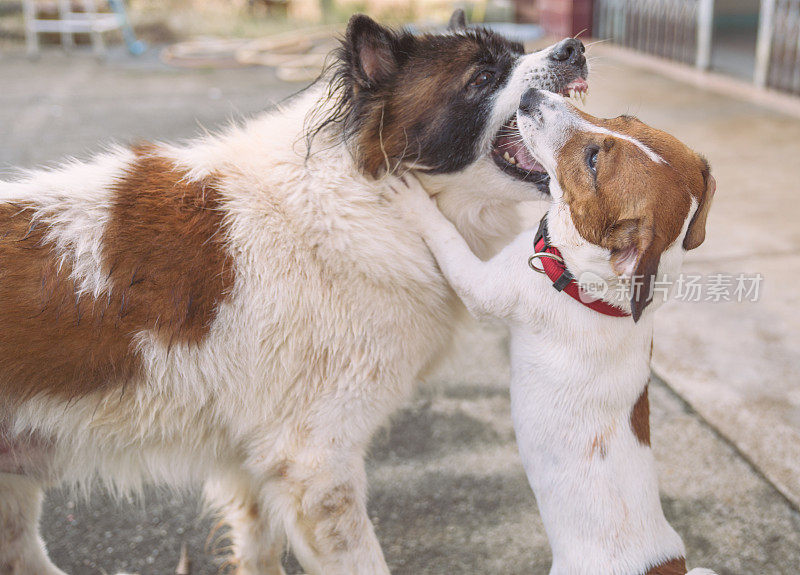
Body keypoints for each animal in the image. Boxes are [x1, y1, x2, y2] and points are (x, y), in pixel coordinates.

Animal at [0, 11, 588, 572]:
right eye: (482, 76)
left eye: (517, 51)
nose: (574, 49)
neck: (365, 196)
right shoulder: (317, 466)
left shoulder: (255, 460)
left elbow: (259, 547)